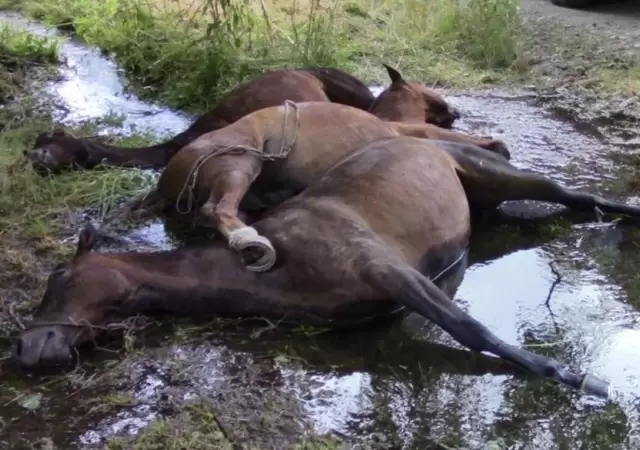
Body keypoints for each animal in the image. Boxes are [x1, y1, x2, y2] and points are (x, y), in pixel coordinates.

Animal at [12, 136, 617, 398]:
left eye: (57, 280)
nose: (26, 349)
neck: (273, 269)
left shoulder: (390, 270)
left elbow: (471, 329)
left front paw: (569, 374)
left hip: (497, 174)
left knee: (578, 196)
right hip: (488, 202)